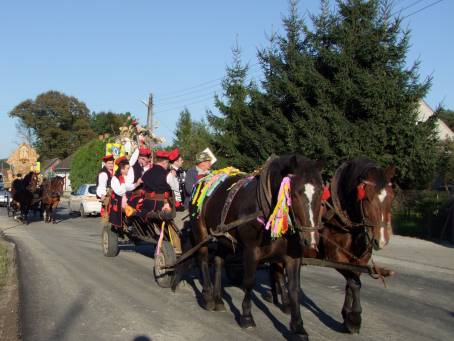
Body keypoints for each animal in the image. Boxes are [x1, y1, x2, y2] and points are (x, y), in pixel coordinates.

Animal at [189, 155, 326, 340]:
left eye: (320, 191)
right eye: (294, 193)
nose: (310, 241)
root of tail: (202, 180)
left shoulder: (294, 256)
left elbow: (294, 288)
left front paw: (298, 327)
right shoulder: (251, 250)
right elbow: (249, 281)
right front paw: (247, 316)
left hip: (224, 236)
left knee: (218, 262)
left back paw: (218, 299)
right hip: (201, 232)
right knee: (203, 260)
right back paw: (208, 297)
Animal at [270, 158, 394, 334]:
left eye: (391, 197)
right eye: (367, 198)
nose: (381, 240)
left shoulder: (360, 259)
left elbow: (352, 282)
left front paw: (347, 315)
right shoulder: (334, 256)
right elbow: (355, 282)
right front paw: (354, 319)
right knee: (278, 270)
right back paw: (286, 302)